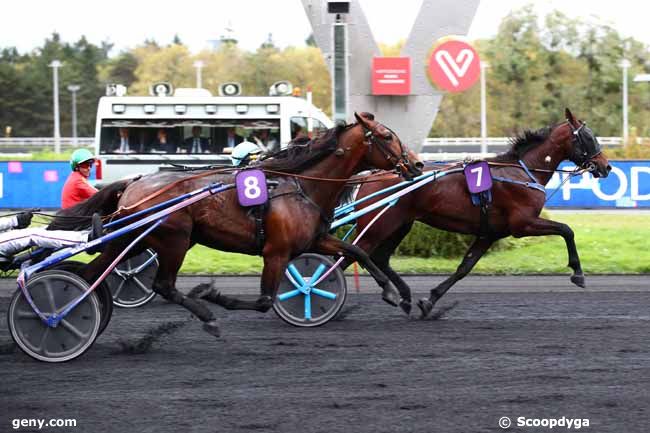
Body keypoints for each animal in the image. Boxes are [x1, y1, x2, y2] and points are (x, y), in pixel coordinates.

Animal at [59, 111, 420, 334]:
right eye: (386, 136)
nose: (416, 165)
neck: (302, 186)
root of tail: (134, 183)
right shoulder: (276, 252)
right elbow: (264, 301)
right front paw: (214, 295)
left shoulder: (314, 239)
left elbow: (357, 252)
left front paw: (392, 293)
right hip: (174, 240)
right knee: (162, 285)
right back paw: (206, 315)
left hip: (138, 238)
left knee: (95, 273)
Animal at [344, 108, 608, 318]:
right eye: (588, 137)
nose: (606, 167)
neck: (522, 172)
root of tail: (370, 174)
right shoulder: (523, 224)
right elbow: (566, 230)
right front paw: (578, 273)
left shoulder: (489, 234)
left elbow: (464, 268)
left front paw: (429, 301)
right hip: (379, 226)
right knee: (353, 253)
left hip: (399, 224)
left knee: (378, 257)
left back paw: (405, 296)